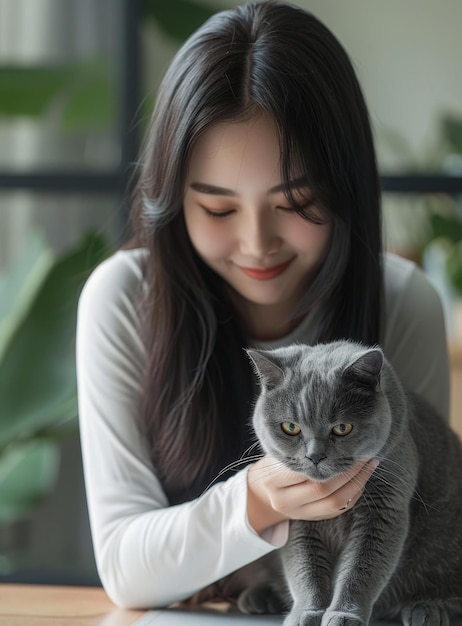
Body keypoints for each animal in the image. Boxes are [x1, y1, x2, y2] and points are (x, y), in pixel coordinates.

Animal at [242, 338, 462, 620]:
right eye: (290, 428)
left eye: (342, 428)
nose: (314, 456)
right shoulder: (297, 520)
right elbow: (305, 569)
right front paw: (308, 612)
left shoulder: (384, 510)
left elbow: (360, 569)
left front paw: (343, 615)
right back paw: (259, 597)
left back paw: (427, 609)